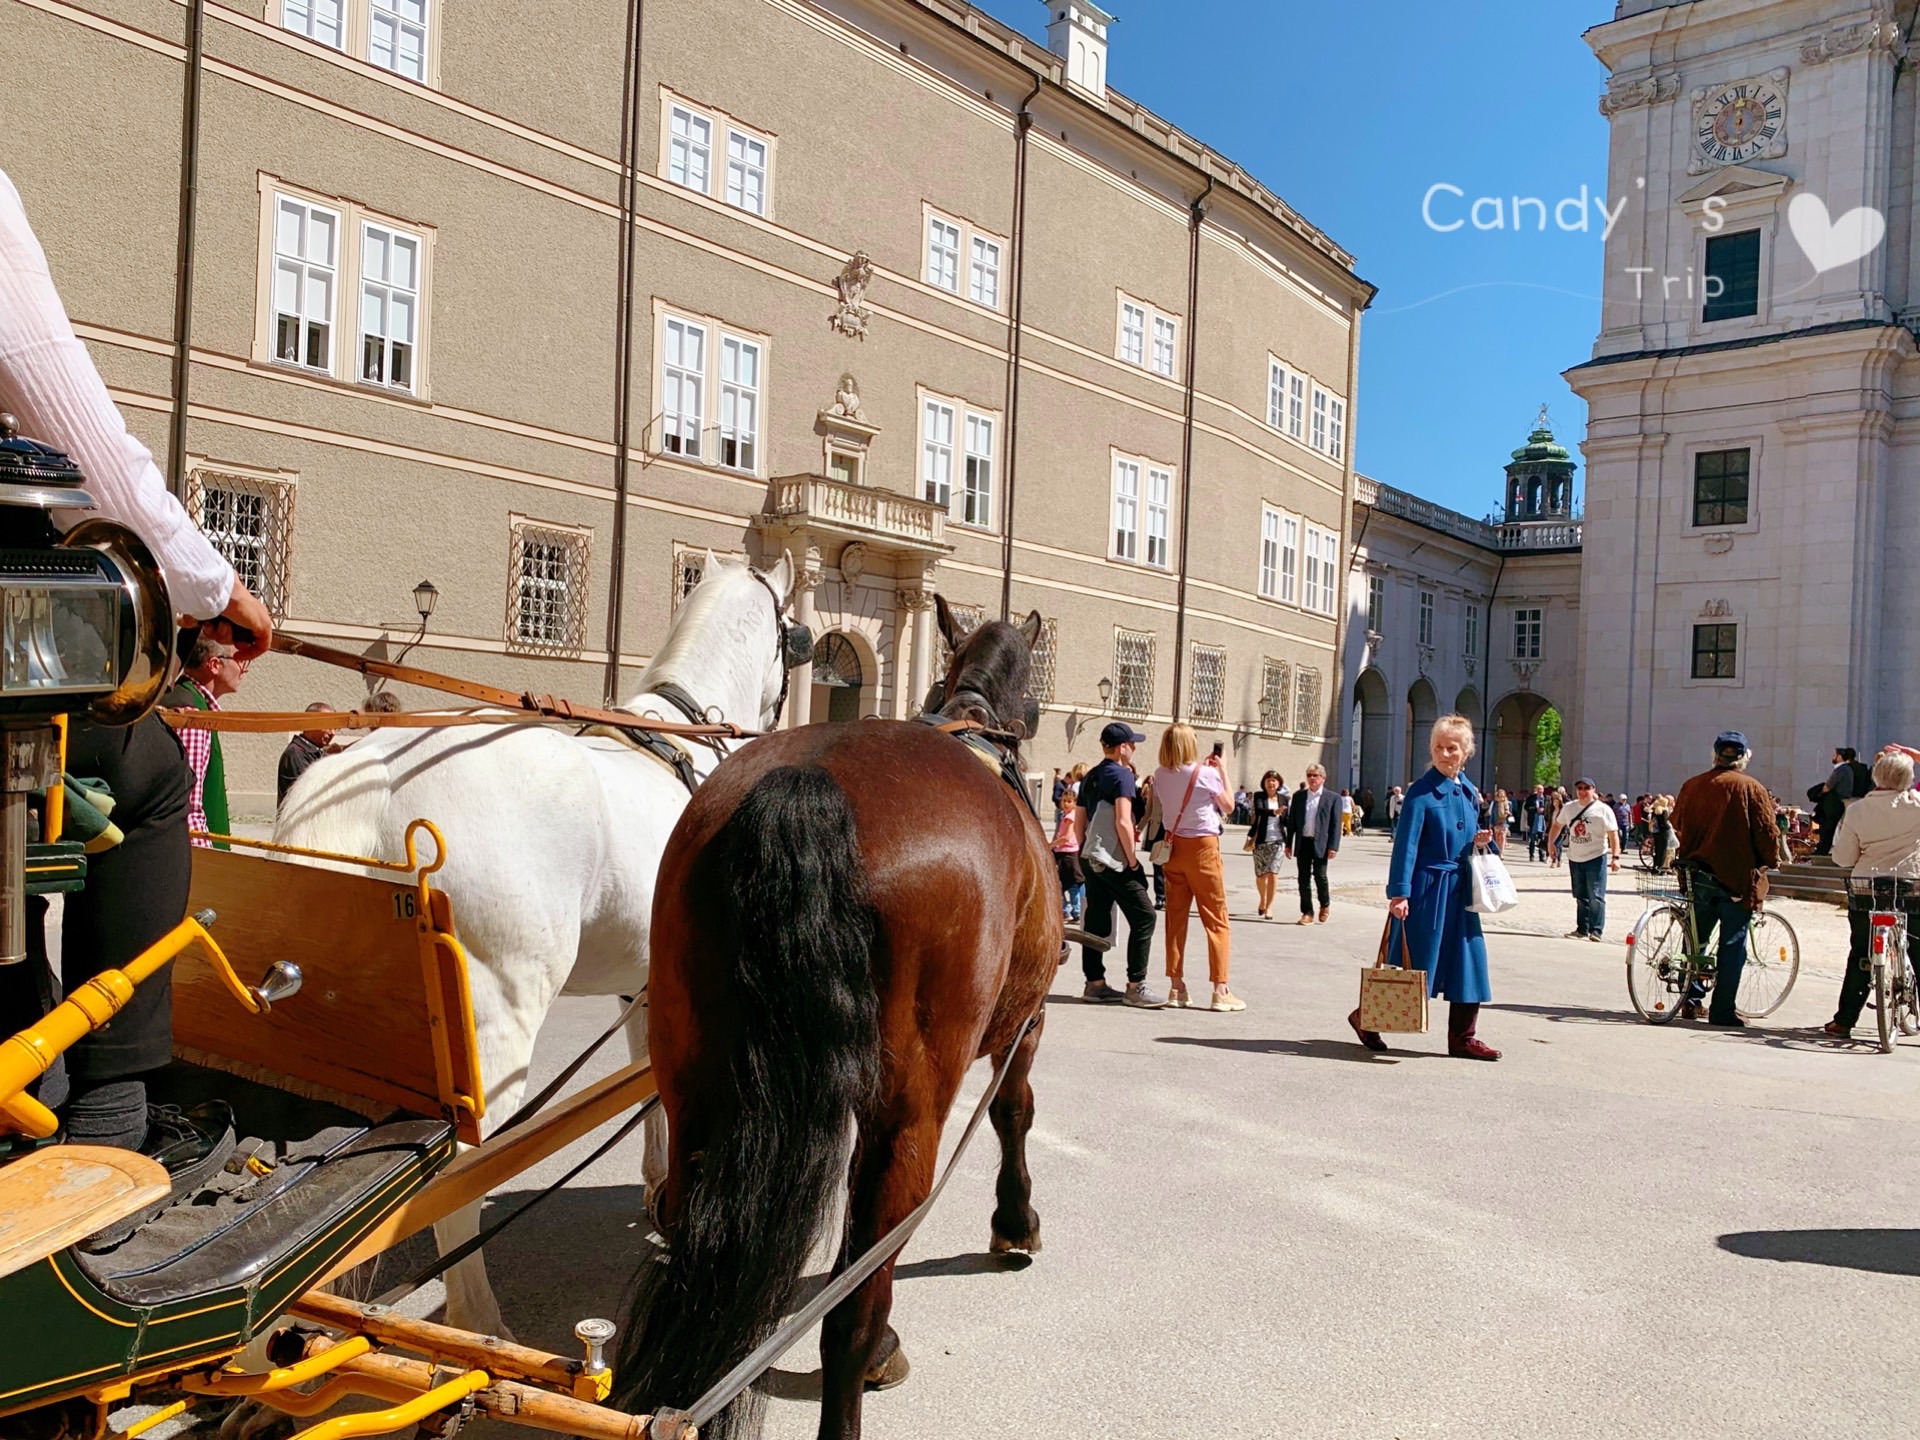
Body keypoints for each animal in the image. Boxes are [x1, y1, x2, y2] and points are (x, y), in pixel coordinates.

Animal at [274, 556, 798, 1344]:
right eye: (796, 637)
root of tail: (374, 775)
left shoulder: (644, 982)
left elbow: (651, 1081)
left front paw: (660, 1187)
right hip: (493, 1030)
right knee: (456, 1175)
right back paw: (474, 1325)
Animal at [614, 602, 1059, 1436]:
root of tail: (809, 781)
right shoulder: (1028, 1020)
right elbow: (1014, 1111)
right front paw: (1015, 1222)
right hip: (910, 1117)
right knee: (850, 1310)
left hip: (696, 1089)